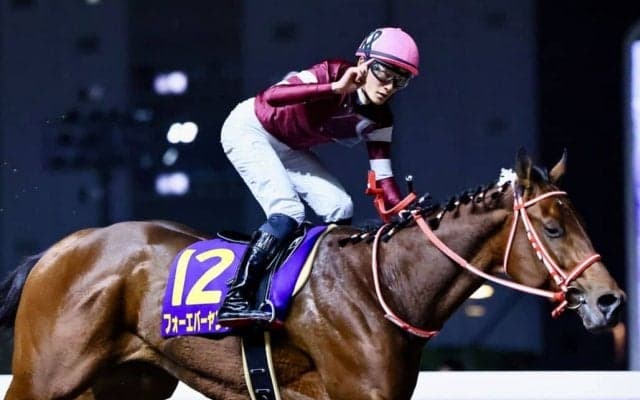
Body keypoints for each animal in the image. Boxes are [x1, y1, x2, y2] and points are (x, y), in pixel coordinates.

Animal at [0, 150, 625, 400]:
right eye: (552, 228)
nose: (610, 300)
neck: (384, 285)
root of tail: (58, 251)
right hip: (45, 376)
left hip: (128, 382)